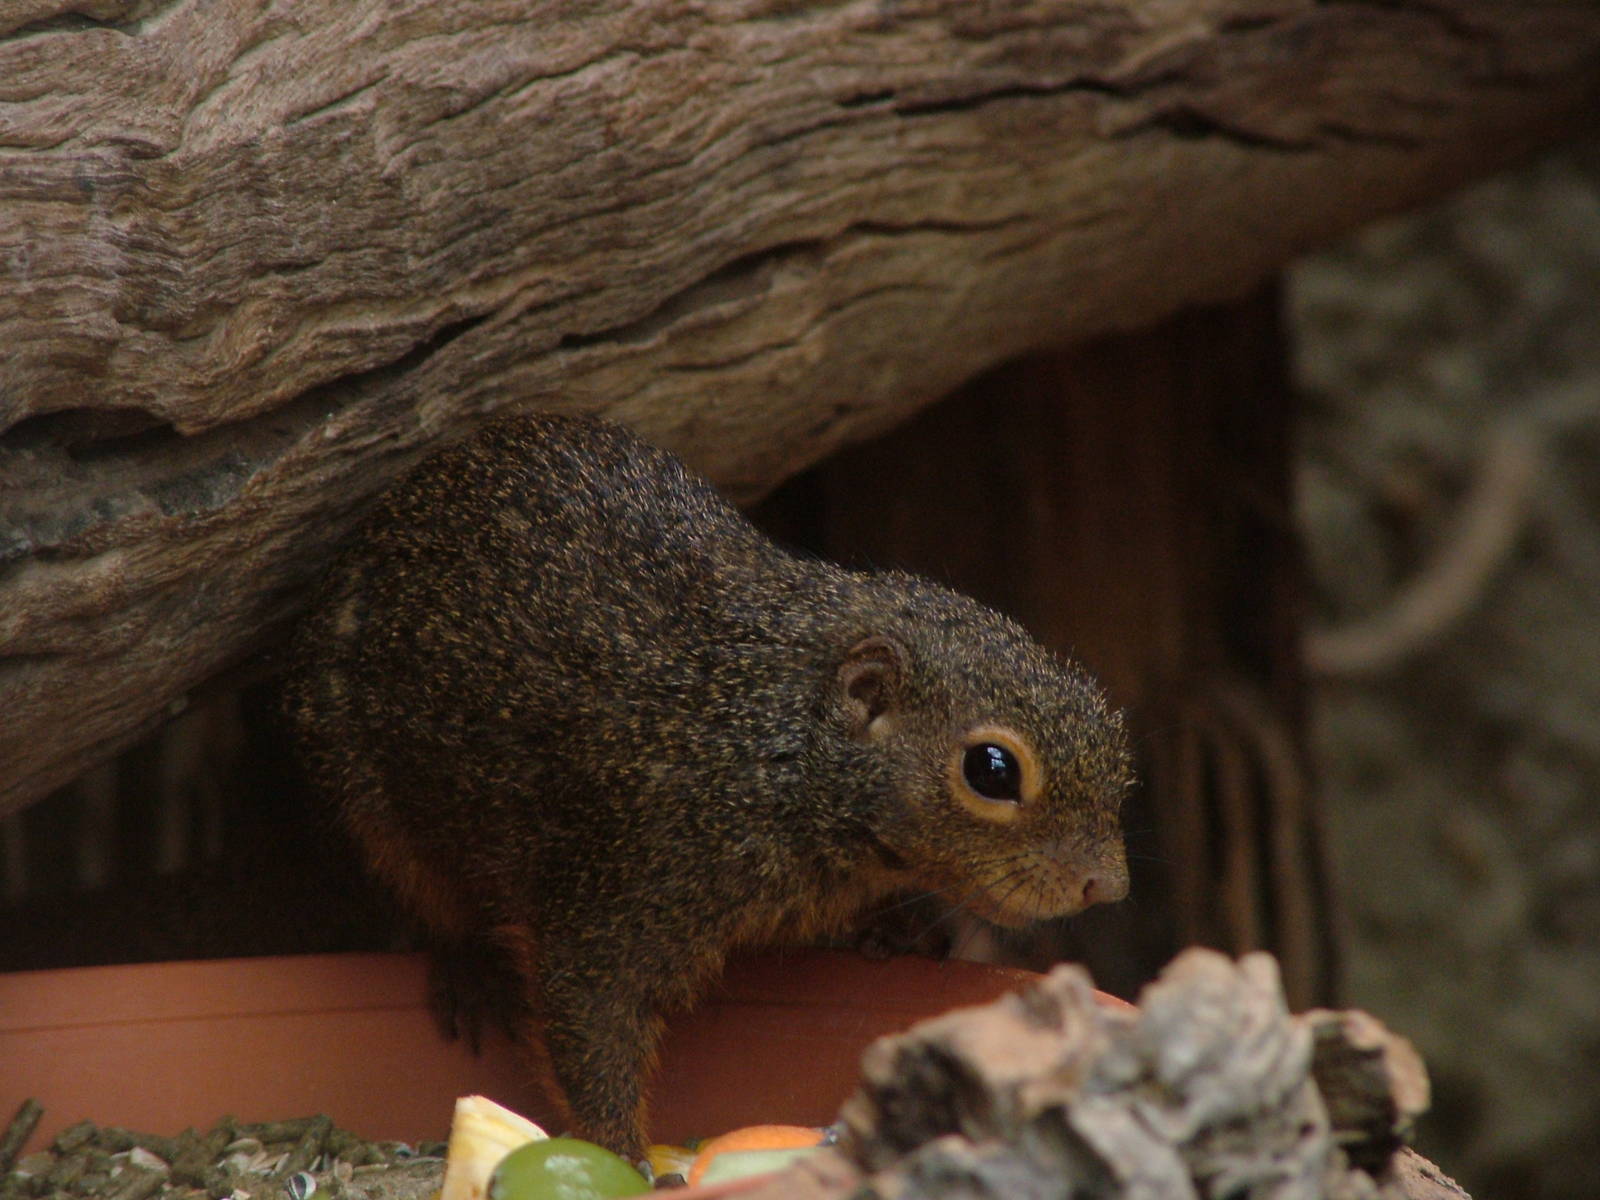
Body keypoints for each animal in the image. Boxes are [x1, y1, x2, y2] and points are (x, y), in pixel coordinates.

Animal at [281, 412, 1133, 1159]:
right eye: (992, 770)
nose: (1108, 886)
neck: (769, 747)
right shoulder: (619, 887)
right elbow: (590, 1024)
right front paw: (624, 1157)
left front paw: (894, 930)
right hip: (369, 801)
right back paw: (467, 969)